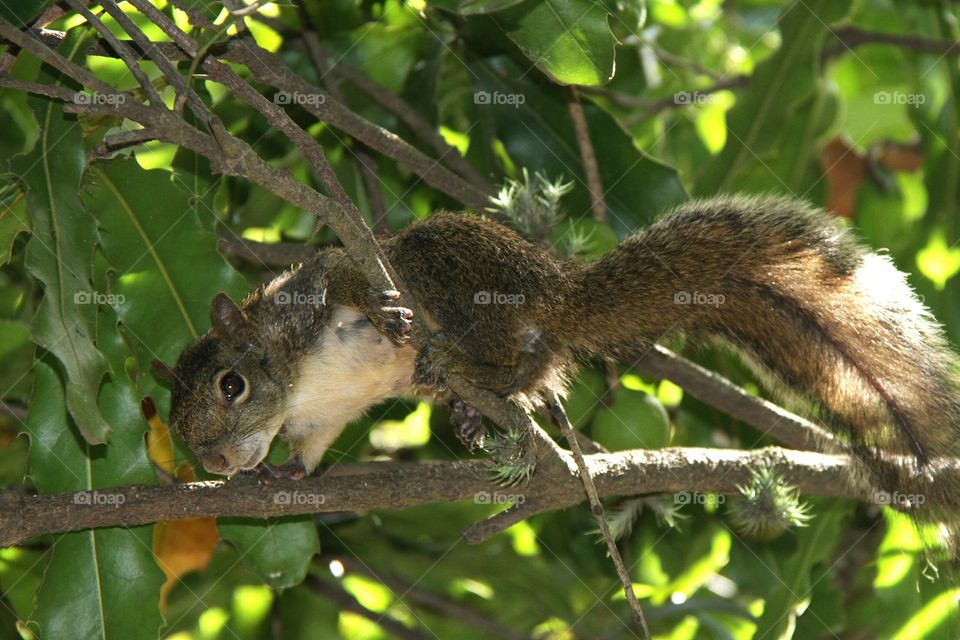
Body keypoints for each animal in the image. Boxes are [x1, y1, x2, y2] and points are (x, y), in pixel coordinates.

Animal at [155, 194, 960, 529]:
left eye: (231, 385)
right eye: (178, 420)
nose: (216, 462)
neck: (294, 385)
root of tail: (555, 292)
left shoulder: (318, 288)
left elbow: (349, 272)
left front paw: (382, 313)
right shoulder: (319, 422)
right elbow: (312, 454)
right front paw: (285, 476)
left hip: (457, 268)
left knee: (481, 328)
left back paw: (453, 360)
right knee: (532, 367)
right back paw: (476, 409)